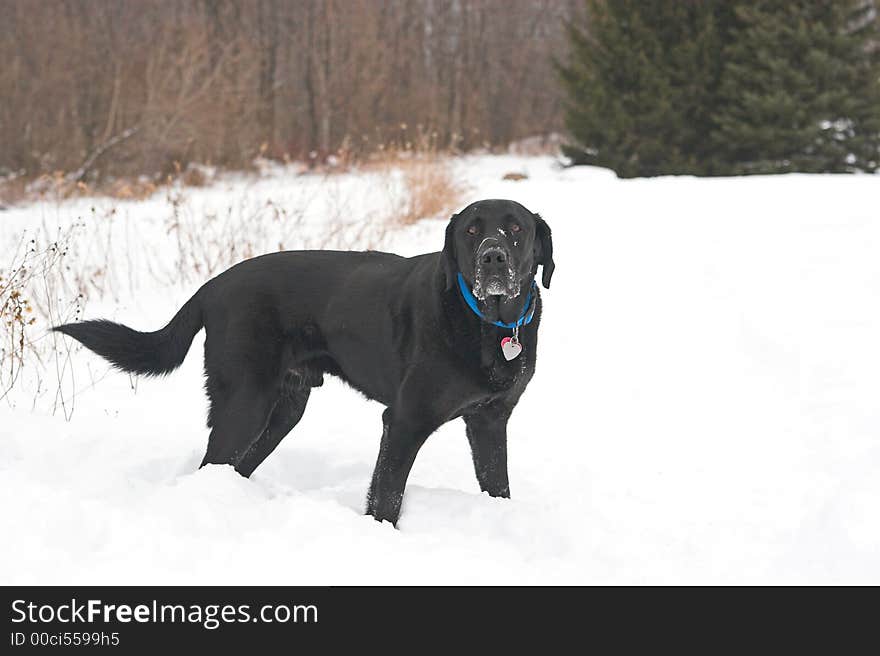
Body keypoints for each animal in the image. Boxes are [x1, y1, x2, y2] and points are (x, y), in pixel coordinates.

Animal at [55, 197, 552, 524]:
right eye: (471, 230)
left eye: (516, 229)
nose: (493, 258)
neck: (489, 322)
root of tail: (211, 286)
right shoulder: (404, 420)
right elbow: (386, 496)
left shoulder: (490, 421)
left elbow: (498, 484)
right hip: (246, 401)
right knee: (214, 462)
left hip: (282, 409)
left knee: (234, 465)